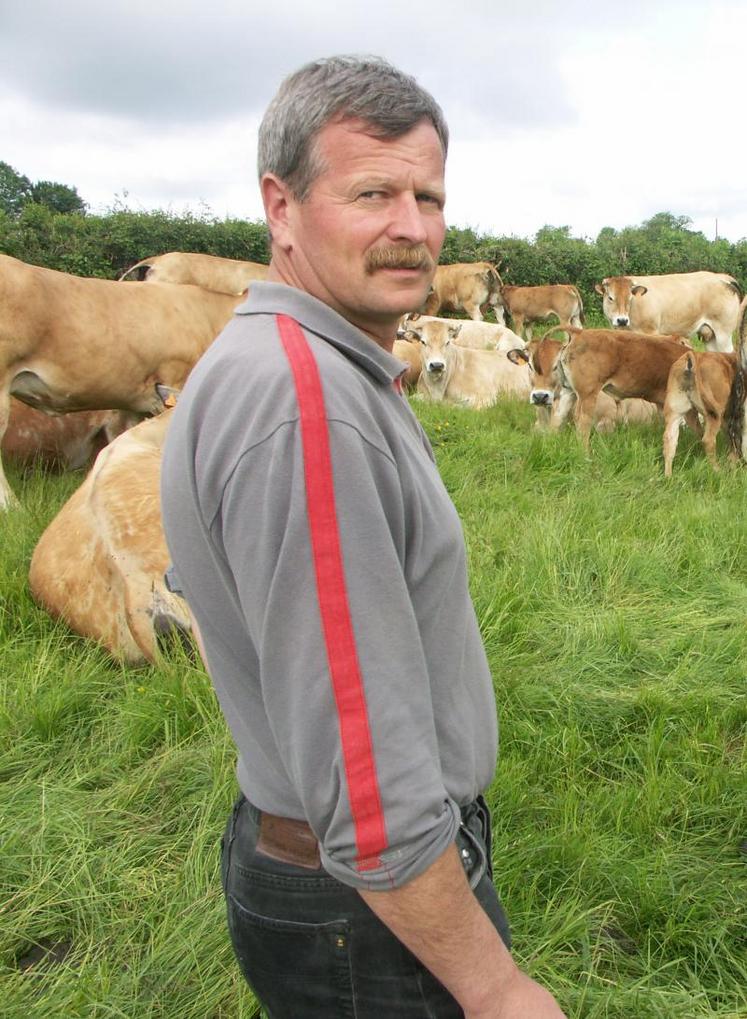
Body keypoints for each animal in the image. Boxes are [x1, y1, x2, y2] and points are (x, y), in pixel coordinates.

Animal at [591, 273, 737, 352]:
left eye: (630, 298)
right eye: (610, 298)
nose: (622, 320)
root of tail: (722, 277)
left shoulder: (650, 333)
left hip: (723, 334)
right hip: (711, 337)